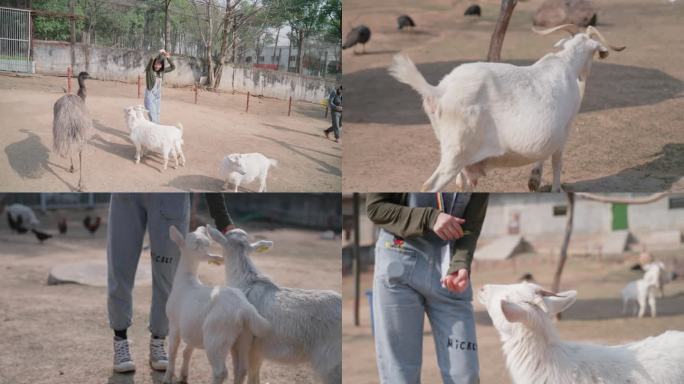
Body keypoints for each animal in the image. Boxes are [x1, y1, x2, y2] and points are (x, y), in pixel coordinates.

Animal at [164, 225, 272, 384]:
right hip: (244, 337)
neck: (186, 281)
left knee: (220, 371)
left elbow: (173, 351)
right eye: (196, 244)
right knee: (241, 369)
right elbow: (187, 352)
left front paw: (167, 378)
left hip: (217, 337)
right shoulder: (192, 328)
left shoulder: (174, 323)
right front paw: (183, 376)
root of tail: (244, 309)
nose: (209, 252)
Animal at [388, 24, 624, 191]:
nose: (585, 76)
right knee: (429, 186)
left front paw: (534, 181)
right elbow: (556, 162)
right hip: (456, 151)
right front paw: (551, 187)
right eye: (595, 53)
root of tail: (440, 89)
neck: (565, 63)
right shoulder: (563, 131)